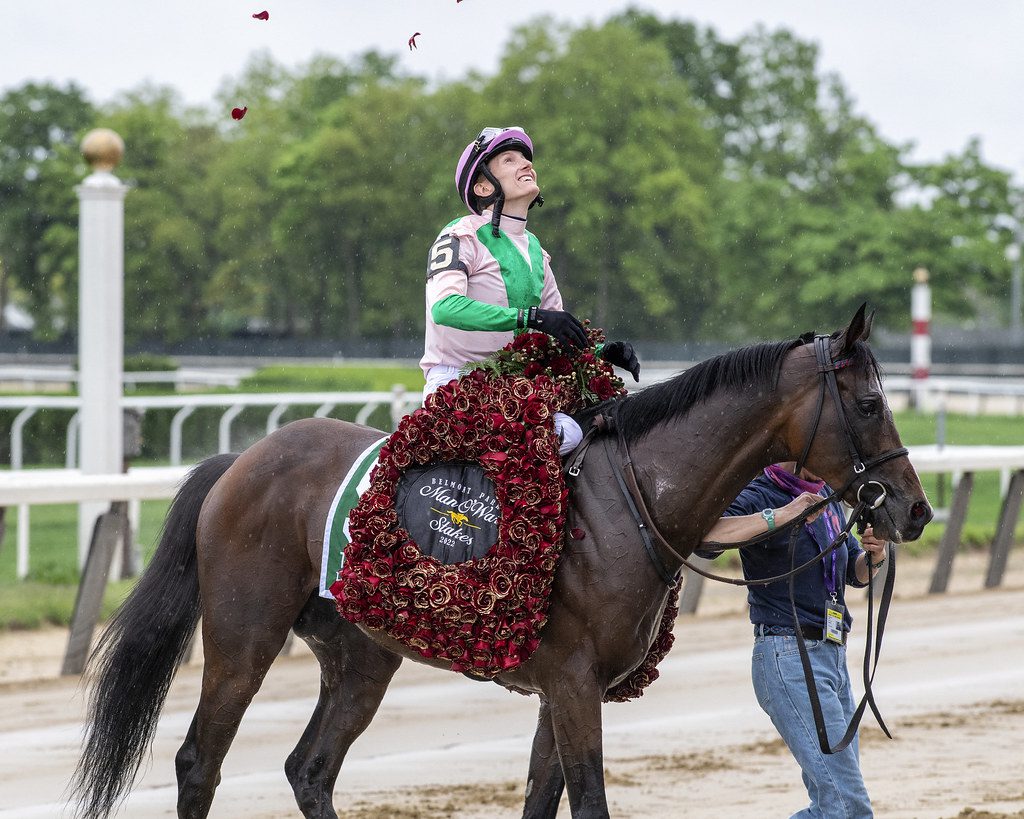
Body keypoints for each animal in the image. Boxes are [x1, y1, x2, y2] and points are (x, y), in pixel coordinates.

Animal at [72, 307, 937, 818]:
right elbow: (587, 801)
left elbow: (541, 798)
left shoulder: (564, 687)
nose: (913, 510)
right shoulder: (573, 681)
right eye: (870, 404)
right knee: (199, 761)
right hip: (244, 637)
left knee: (309, 767)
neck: (631, 500)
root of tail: (244, 457)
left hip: (360, 653)